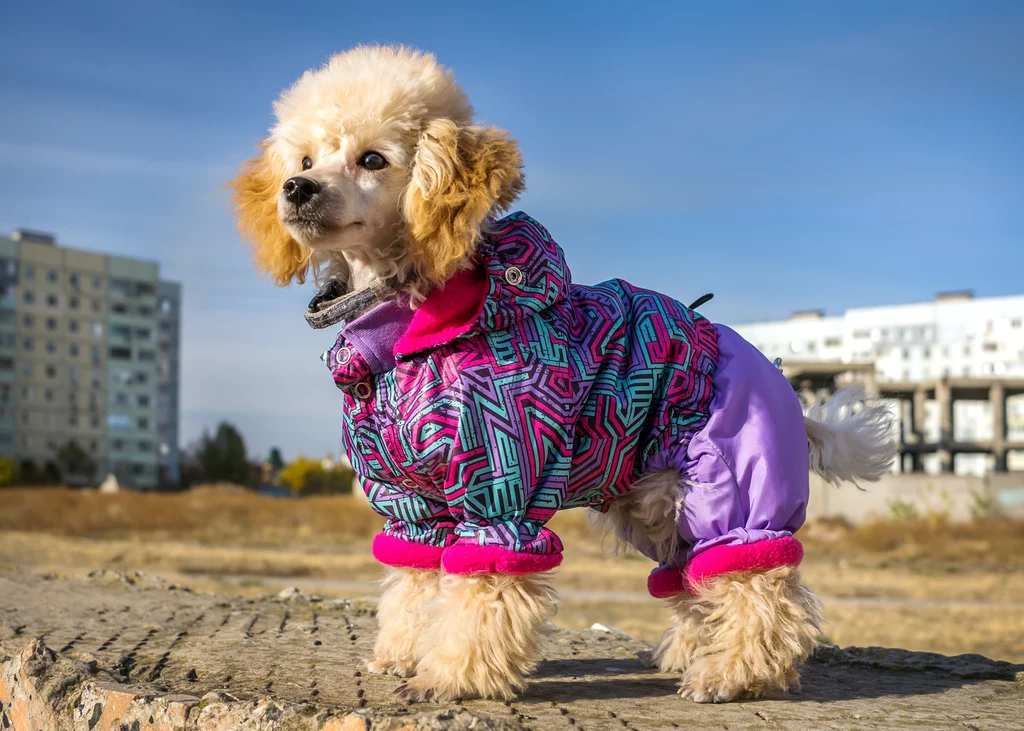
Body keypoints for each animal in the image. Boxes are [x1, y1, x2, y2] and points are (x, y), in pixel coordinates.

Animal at [230, 44, 897, 700]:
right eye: (305, 158)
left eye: (373, 159)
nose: (296, 187)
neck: (402, 338)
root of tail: (786, 387)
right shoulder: (410, 503)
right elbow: (415, 585)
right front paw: (401, 655)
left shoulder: (497, 486)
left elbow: (482, 591)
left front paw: (454, 675)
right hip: (657, 502)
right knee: (693, 578)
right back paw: (691, 655)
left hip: (730, 488)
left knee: (759, 587)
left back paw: (733, 674)